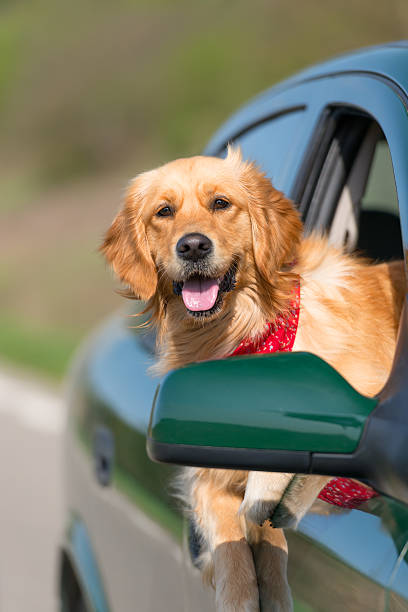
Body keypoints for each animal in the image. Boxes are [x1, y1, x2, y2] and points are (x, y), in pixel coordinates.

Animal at [101, 146, 404, 608]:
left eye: (221, 203)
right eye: (164, 211)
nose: (193, 246)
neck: (248, 333)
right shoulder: (204, 472)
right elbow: (231, 537)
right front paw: (244, 591)